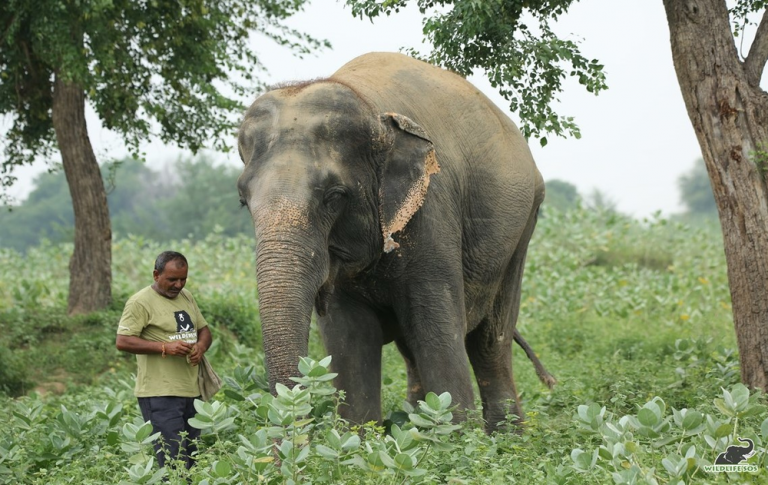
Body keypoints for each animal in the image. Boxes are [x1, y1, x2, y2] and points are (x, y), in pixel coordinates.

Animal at [238, 52, 544, 432]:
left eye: (334, 197)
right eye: (243, 201)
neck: (372, 111)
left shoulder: (432, 208)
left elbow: (435, 329)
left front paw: (458, 439)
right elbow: (350, 338)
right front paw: (359, 438)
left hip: (522, 226)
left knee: (490, 339)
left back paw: (506, 438)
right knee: (413, 347)